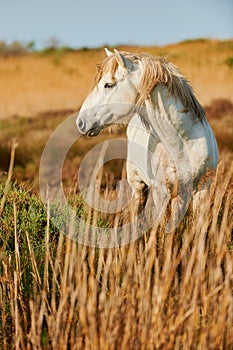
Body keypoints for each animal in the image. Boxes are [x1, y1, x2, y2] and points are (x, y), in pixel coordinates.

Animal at [77, 49, 218, 230]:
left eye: (108, 84)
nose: (81, 122)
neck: (184, 142)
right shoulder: (161, 192)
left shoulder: (203, 187)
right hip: (138, 186)